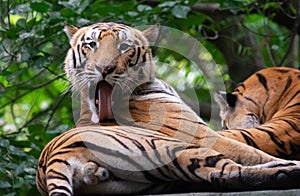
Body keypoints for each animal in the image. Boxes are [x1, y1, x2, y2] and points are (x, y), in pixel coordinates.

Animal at [36, 22, 300, 195]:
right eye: (91, 44)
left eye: (124, 46)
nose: (105, 68)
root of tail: (52, 159)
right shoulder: (202, 133)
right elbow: (249, 150)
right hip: (167, 147)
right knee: (228, 171)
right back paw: (290, 170)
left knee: (223, 175)